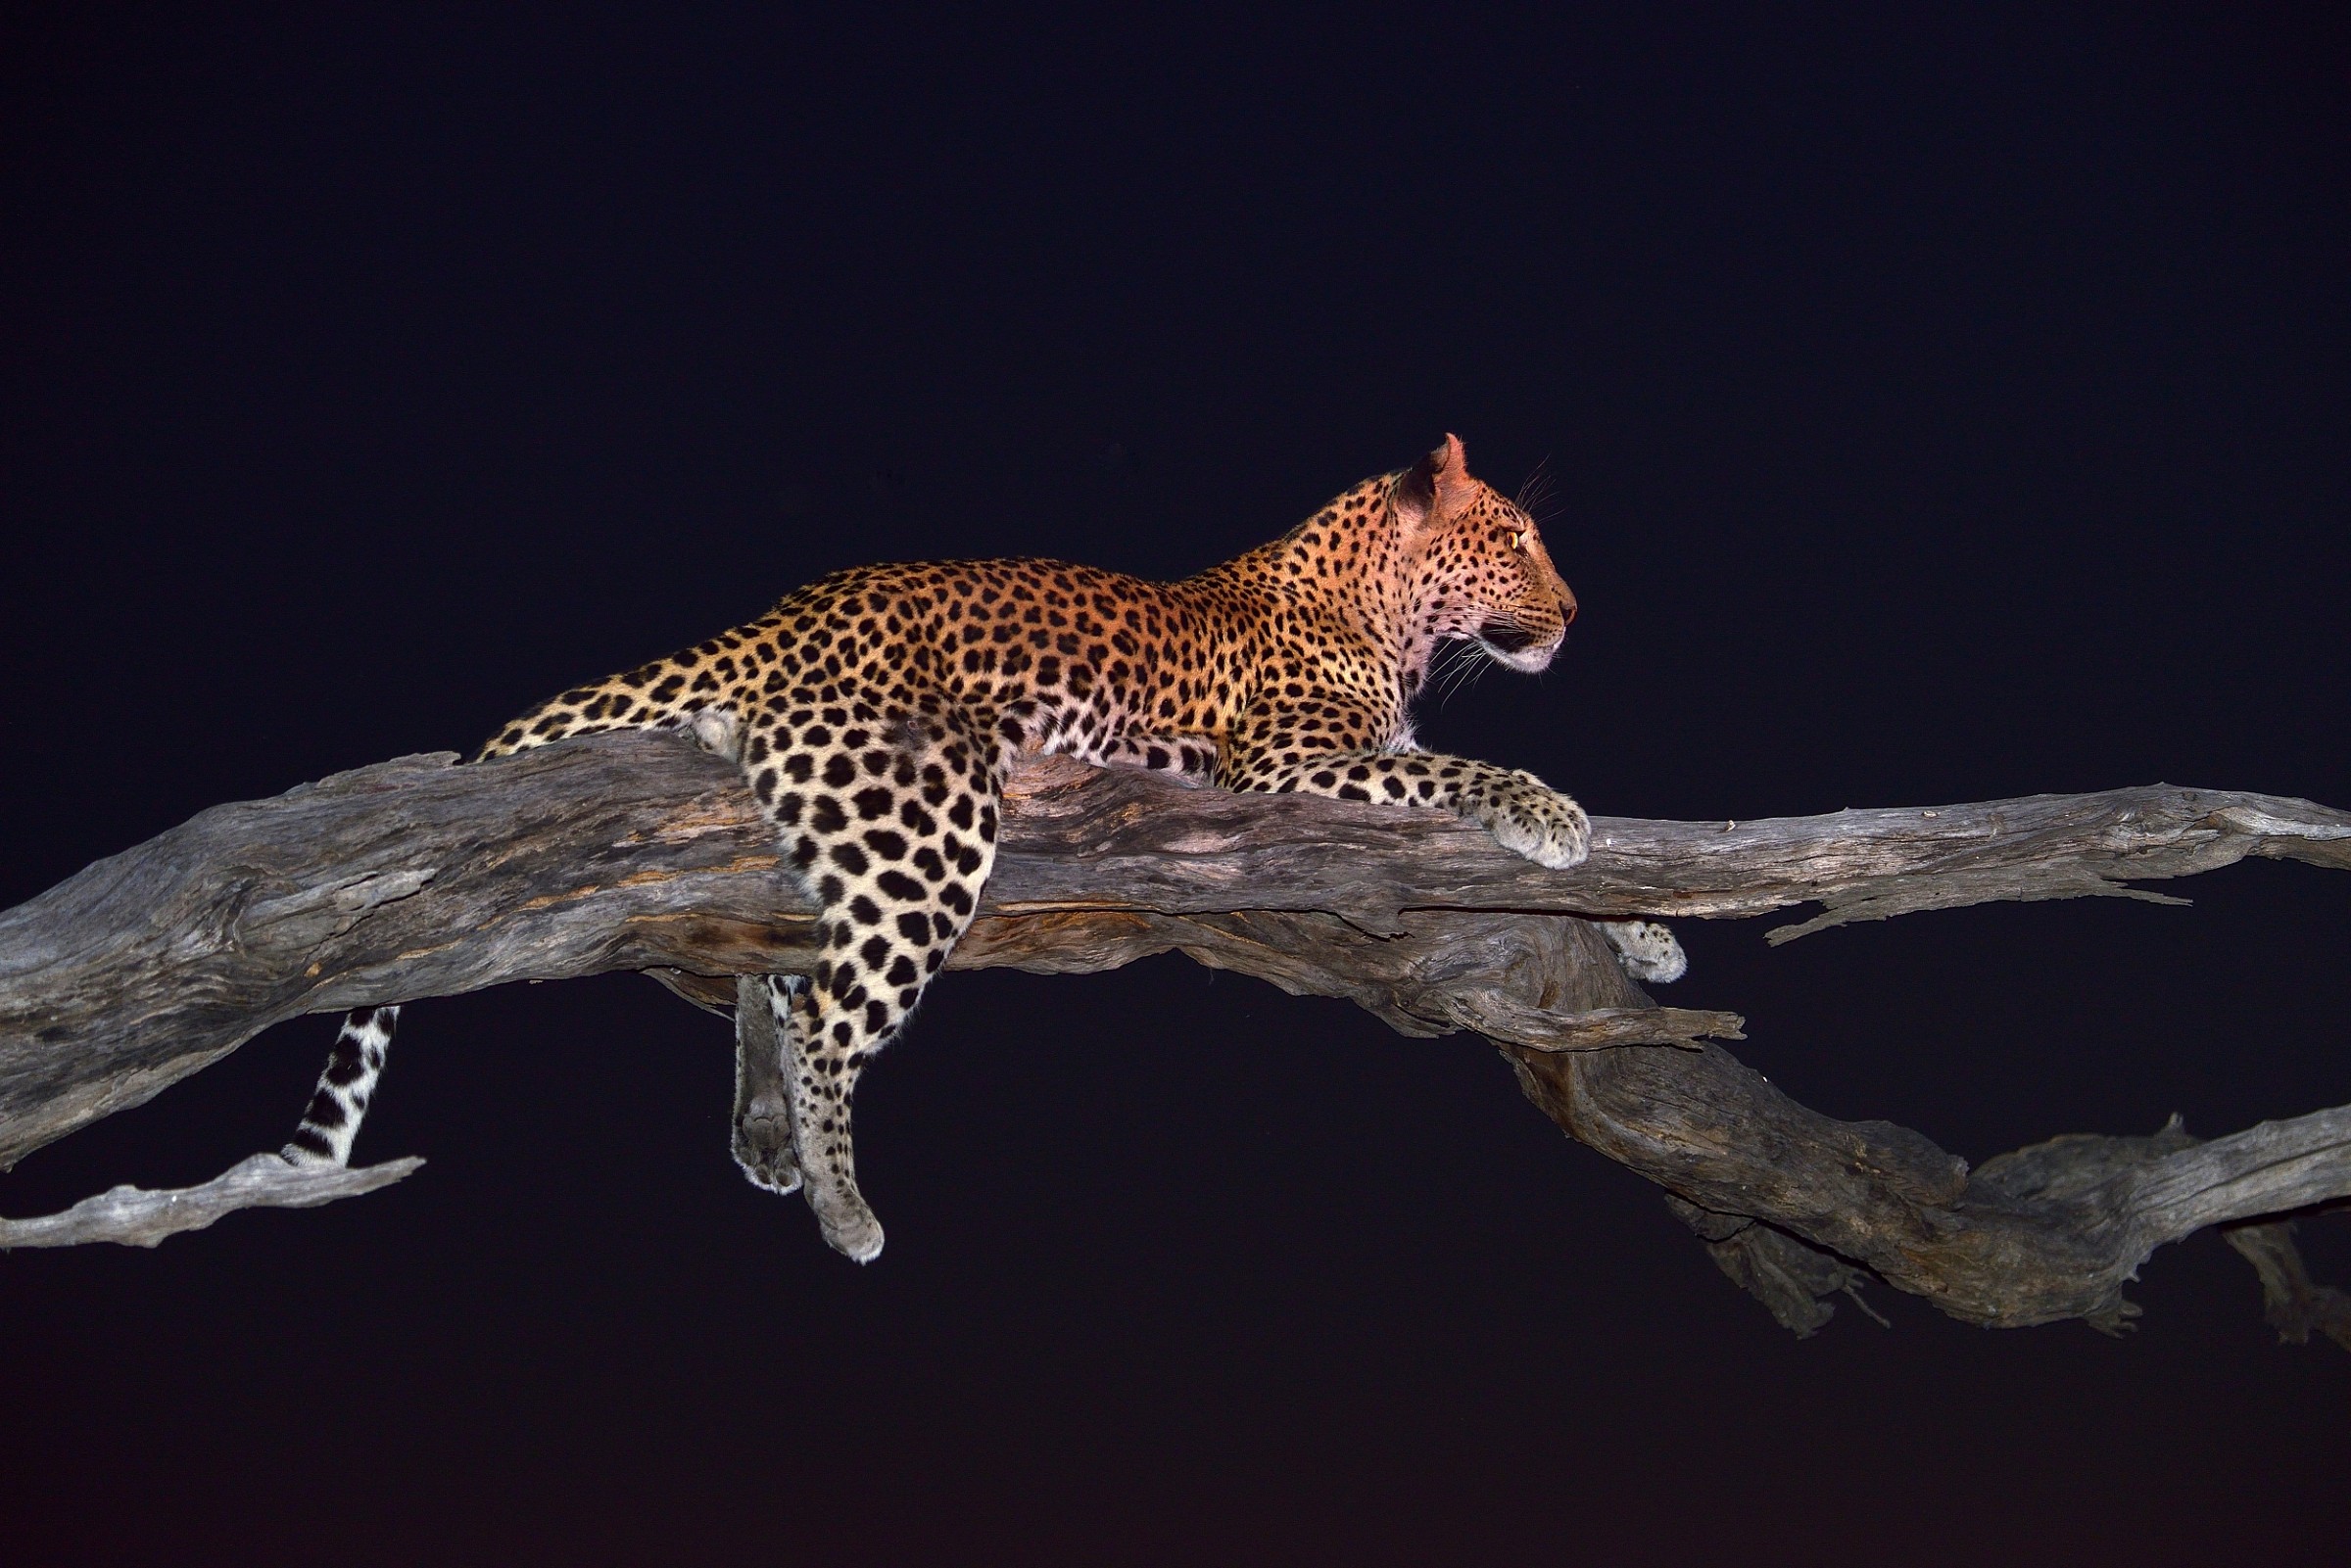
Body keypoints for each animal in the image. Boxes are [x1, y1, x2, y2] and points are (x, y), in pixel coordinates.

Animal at [280, 434, 1685, 1261]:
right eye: (1516, 540)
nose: (1575, 612)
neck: (1381, 615)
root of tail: (781, 615)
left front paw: (1648, 930)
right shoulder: (1286, 765)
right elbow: (1466, 774)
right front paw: (1558, 822)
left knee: (776, 966)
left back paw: (764, 1136)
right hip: (930, 820)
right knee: (826, 1011)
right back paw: (843, 1202)